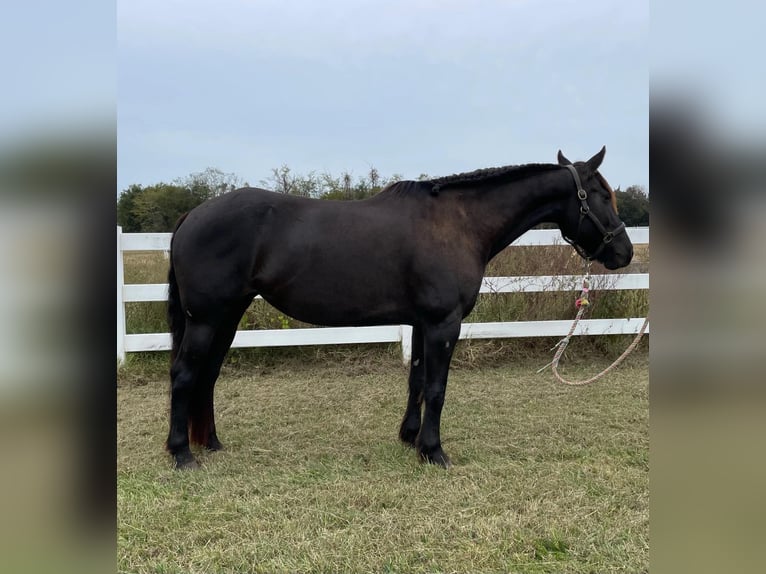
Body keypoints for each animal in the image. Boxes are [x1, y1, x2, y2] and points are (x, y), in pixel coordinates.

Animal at [165, 146, 632, 470]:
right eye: (598, 195)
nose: (624, 253)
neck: (460, 223)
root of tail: (190, 216)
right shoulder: (444, 323)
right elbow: (437, 387)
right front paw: (434, 451)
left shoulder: (423, 323)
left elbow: (417, 381)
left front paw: (410, 438)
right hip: (206, 319)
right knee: (185, 375)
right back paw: (181, 454)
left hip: (227, 317)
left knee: (208, 375)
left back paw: (210, 443)